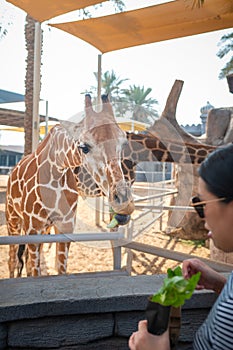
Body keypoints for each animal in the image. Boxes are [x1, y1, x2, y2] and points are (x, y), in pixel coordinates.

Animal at [5, 94, 135, 278]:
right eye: (84, 147)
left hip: (44, 228)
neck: (57, 167)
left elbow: (60, 270)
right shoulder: (33, 229)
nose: (124, 204)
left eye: (123, 143)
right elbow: (35, 272)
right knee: (13, 260)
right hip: (13, 219)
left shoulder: (65, 227)